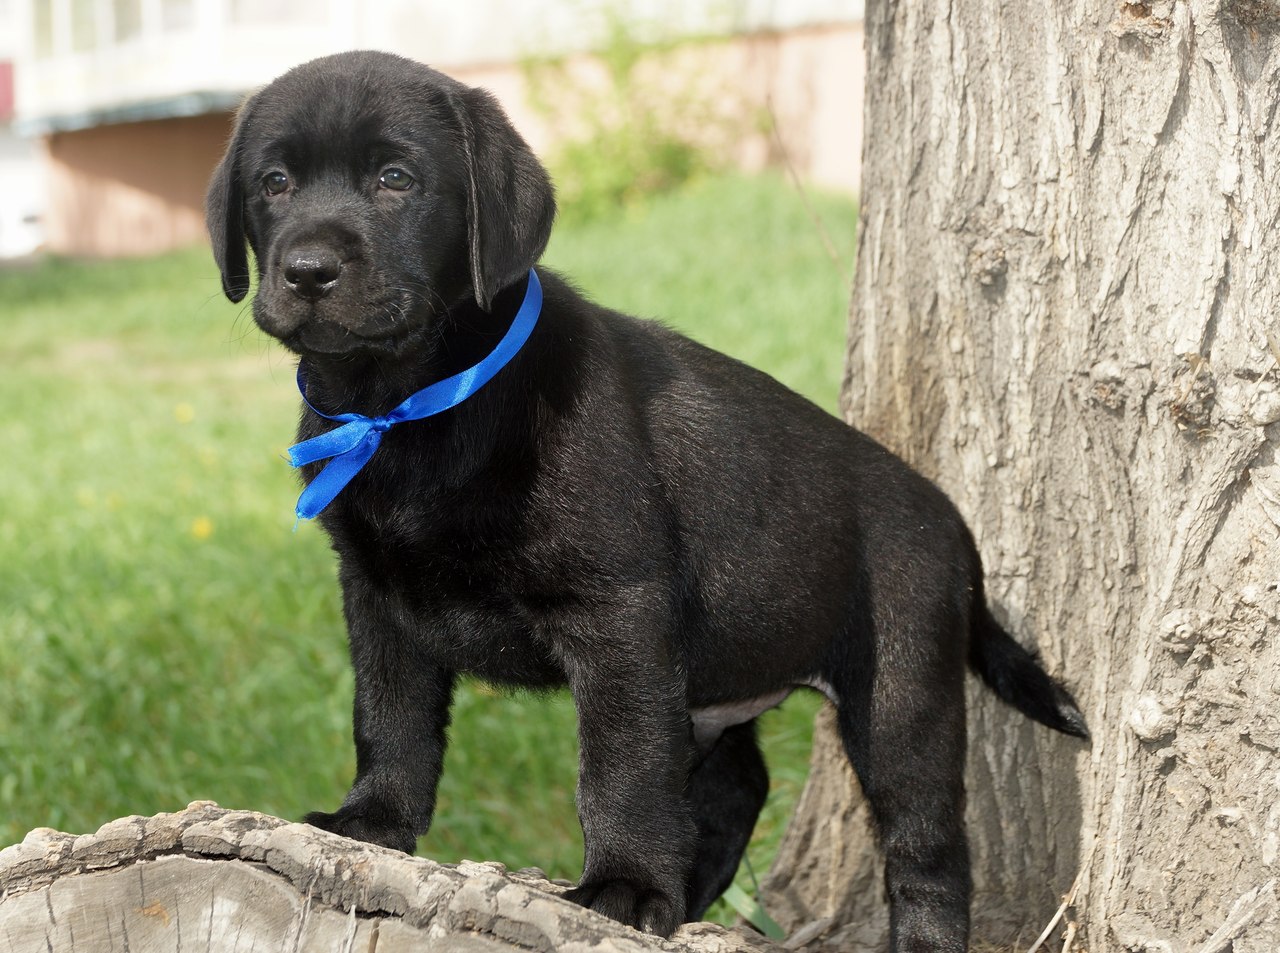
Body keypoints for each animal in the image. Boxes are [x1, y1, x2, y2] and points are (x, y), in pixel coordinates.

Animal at [204, 50, 1085, 951]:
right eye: (274, 182)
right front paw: (371, 821)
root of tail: (956, 528)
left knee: (927, 838)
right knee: (736, 786)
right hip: (723, 687)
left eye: (394, 178)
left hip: (902, 690)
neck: (409, 403)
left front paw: (624, 885)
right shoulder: (377, 595)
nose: (308, 270)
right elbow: (391, 717)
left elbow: (620, 762)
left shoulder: (618, 611)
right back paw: (693, 892)